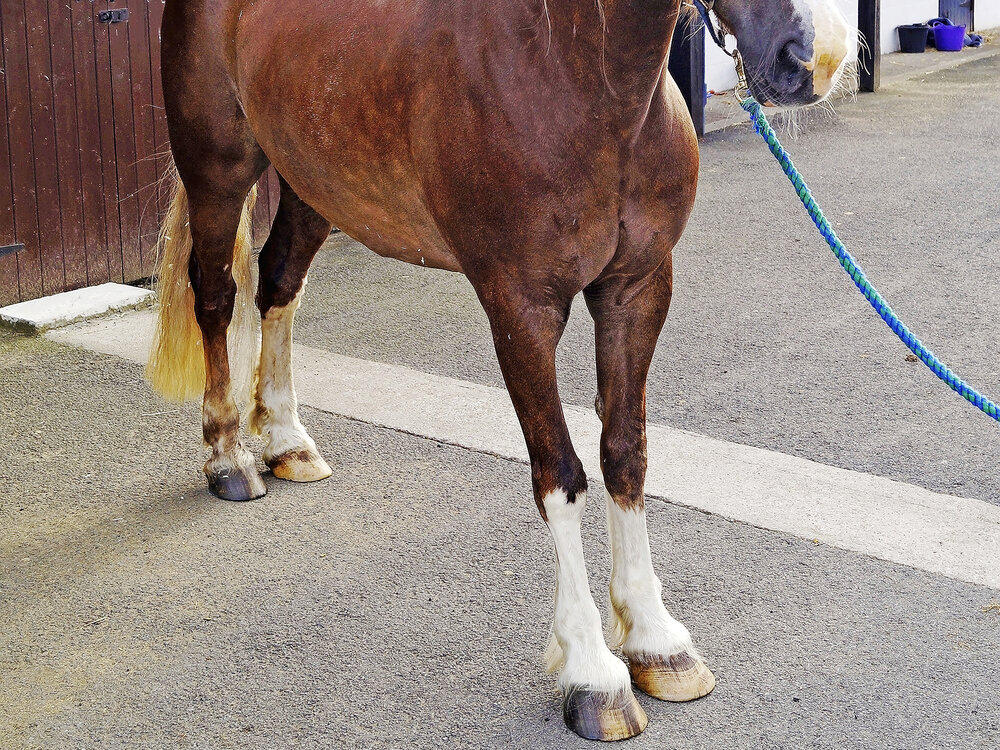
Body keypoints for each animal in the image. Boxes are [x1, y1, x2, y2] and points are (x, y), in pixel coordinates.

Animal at [148, 0, 852, 740]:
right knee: (217, 296)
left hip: (312, 182)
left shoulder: (637, 290)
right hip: (219, 169)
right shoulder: (522, 309)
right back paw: (229, 457)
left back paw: (287, 440)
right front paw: (594, 674)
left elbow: (626, 455)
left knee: (279, 283)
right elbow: (562, 476)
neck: (576, 77)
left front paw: (657, 642)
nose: (818, 56)